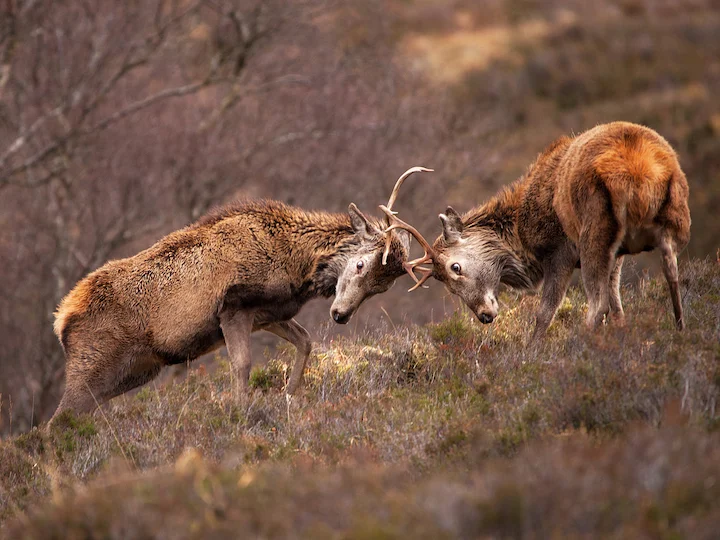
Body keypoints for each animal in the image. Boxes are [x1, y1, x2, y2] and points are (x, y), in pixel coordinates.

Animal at [49, 167, 432, 424]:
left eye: (381, 287)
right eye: (360, 264)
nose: (340, 315)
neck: (296, 264)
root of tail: (62, 319)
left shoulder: (269, 314)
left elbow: (306, 341)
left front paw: (289, 396)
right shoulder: (234, 306)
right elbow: (243, 364)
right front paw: (239, 413)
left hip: (132, 371)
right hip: (92, 366)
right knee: (55, 423)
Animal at [377, 122, 691, 341]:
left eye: (455, 266)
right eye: (446, 285)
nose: (484, 316)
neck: (520, 235)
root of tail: (642, 173)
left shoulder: (559, 251)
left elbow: (545, 313)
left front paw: (532, 353)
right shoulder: (618, 253)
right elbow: (618, 305)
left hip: (593, 232)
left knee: (596, 303)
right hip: (674, 217)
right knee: (671, 274)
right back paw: (680, 331)